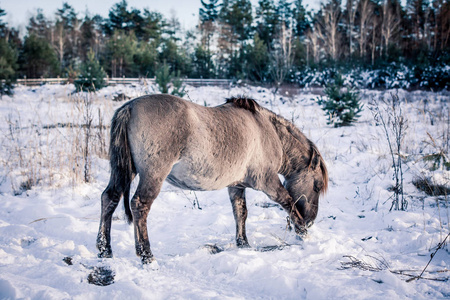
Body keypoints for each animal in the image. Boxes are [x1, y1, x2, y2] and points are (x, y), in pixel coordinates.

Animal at [96, 95, 326, 264]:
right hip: (153, 175)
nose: (311, 220)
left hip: (125, 171)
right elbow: (288, 202)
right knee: (139, 205)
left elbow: (241, 213)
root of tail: (130, 107)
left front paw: (243, 243)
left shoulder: (236, 185)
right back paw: (146, 255)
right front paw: (303, 233)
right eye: (317, 185)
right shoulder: (268, 182)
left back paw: (104, 250)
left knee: (110, 198)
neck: (266, 131)